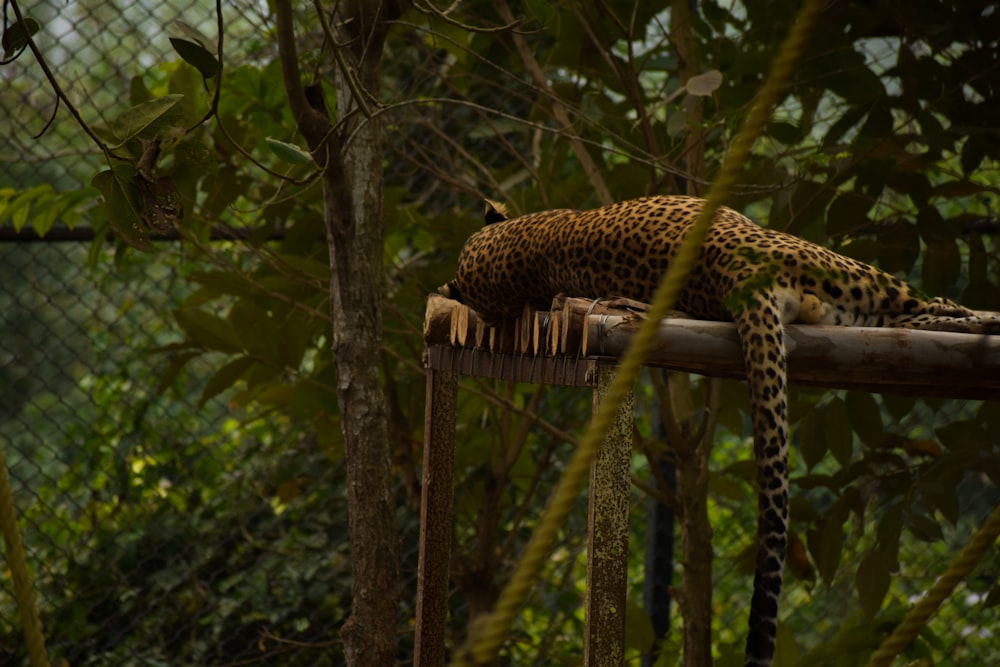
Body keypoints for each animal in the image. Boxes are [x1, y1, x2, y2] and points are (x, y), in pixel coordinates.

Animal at [440, 193, 1000, 667]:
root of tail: (736, 276)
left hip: (845, 309)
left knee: (921, 321)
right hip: (852, 275)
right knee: (934, 309)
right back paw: (985, 318)